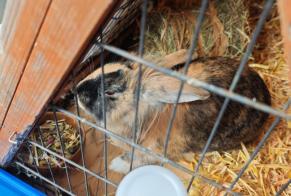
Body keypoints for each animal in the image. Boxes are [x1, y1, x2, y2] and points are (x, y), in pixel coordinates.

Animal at [76, 49, 272, 174]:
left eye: (109, 92)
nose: (77, 90)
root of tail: (267, 98)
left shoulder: (150, 152)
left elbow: (134, 160)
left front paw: (114, 165)